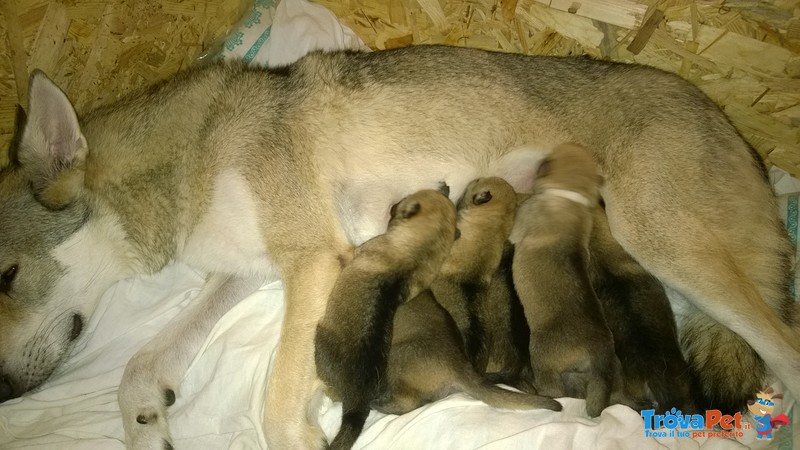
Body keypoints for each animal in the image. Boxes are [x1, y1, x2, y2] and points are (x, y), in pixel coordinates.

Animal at [316, 188, 460, 450]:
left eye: (403, 204)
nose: (392, 205)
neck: (418, 254)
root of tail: (359, 401)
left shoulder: (365, 248)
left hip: (319, 345)